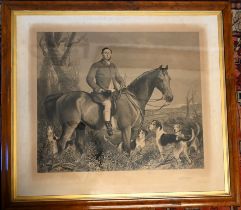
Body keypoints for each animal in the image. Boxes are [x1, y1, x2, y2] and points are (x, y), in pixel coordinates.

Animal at [44, 65, 173, 155]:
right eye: (160, 79)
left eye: (169, 79)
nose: (170, 97)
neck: (134, 98)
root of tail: (62, 96)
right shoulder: (126, 129)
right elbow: (127, 148)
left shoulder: (134, 129)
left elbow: (129, 147)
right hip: (69, 126)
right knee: (61, 143)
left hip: (80, 126)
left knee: (79, 146)